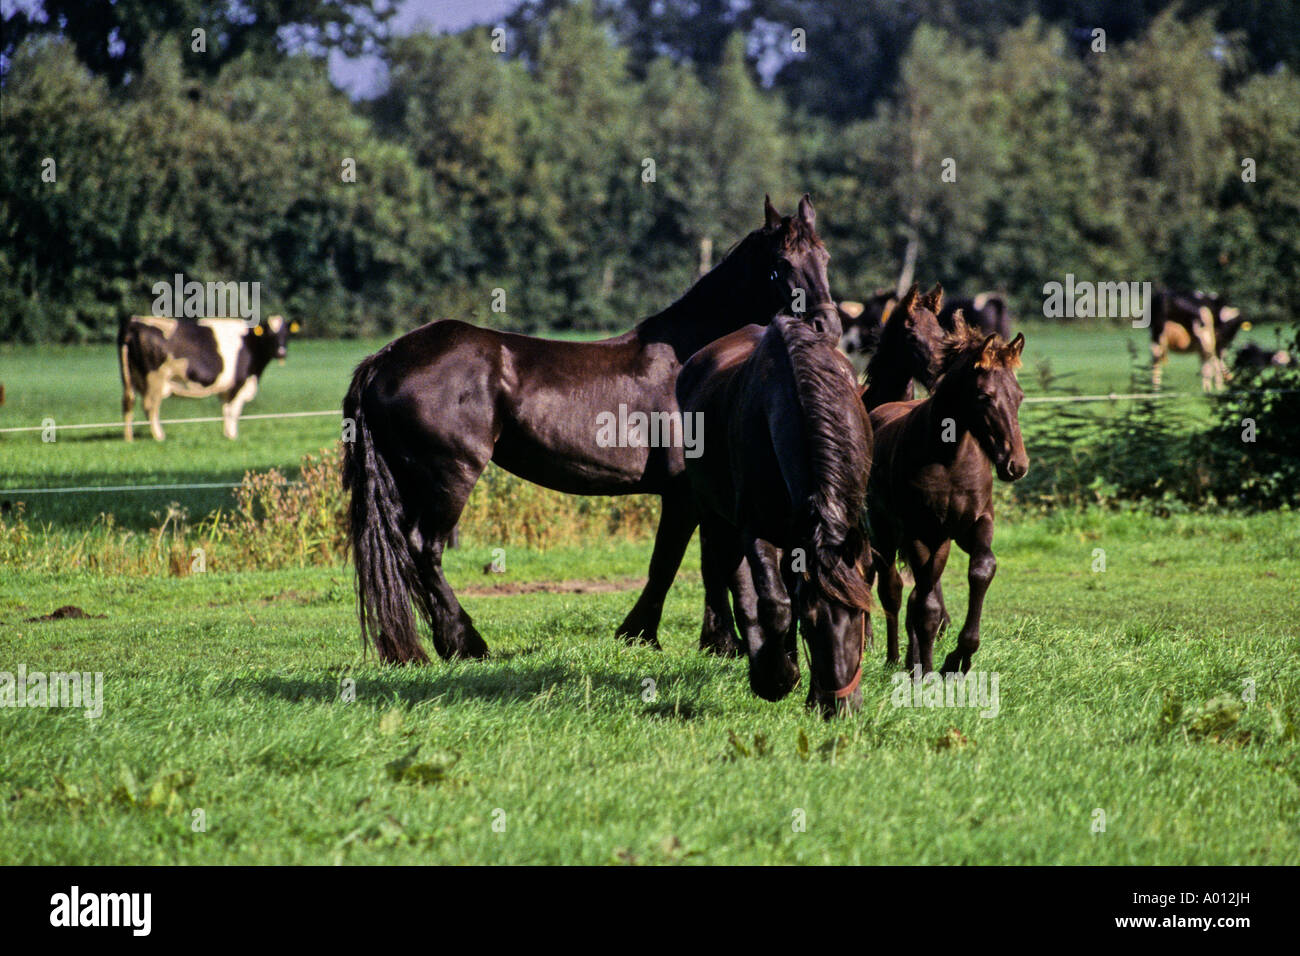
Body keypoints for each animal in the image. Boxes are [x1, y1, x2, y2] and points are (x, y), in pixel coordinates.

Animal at [117, 317, 297, 444]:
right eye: (270, 334)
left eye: (286, 334)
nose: (281, 352)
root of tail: (134, 321)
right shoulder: (238, 384)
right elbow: (234, 411)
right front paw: (233, 436)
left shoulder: (226, 390)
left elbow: (226, 411)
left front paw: (227, 435)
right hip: (154, 379)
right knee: (150, 407)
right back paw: (159, 436)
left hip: (130, 379)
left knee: (128, 404)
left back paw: (128, 438)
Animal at [340, 195, 837, 665]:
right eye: (781, 263)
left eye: (824, 256)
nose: (825, 325)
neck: (694, 362)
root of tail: (384, 358)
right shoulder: (683, 495)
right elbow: (671, 564)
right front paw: (645, 634)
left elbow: (713, 566)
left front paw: (717, 641)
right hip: (450, 475)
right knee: (424, 549)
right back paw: (466, 643)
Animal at [670, 317, 873, 712]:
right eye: (812, 623)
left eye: (859, 616)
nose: (841, 708)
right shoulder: (755, 529)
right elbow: (775, 605)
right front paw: (776, 679)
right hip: (716, 518)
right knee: (740, 588)